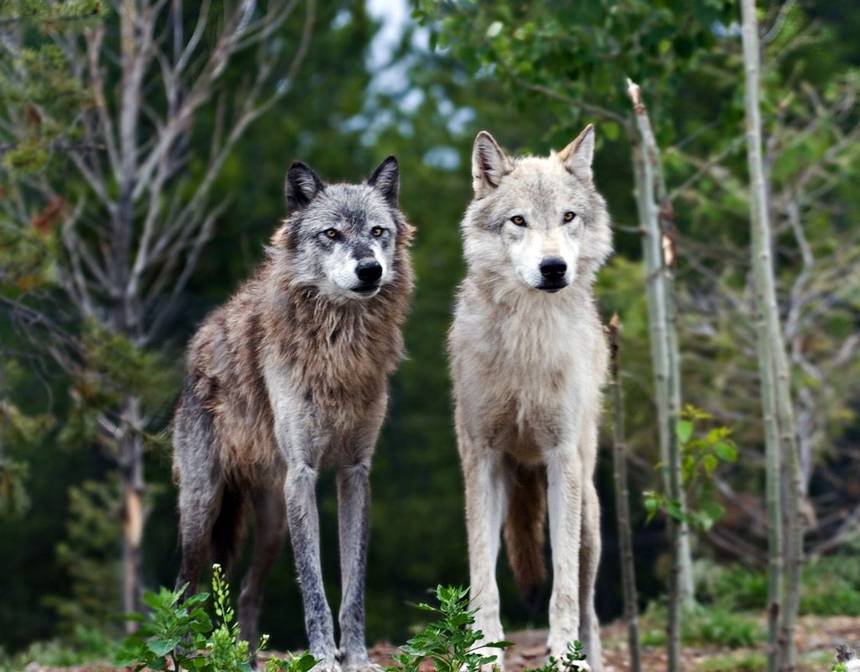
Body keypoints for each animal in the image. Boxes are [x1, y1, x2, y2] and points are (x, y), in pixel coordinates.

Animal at [172, 156, 413, 672]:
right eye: (332, 234)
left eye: (377, 231)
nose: (370, 269)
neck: (340, 346)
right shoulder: (303, 474)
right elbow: (314, 586)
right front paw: (323, 658)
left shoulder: (354, 472)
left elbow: (353, 586)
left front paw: (356, 658)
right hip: (204, 509)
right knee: (183, 589)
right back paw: (178, 658)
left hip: (271, 525)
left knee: (245, 594)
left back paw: (244, 658)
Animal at [448, 126, 612, 671]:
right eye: (518, 220)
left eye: (568, 217)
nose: (553, 267)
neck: (527, 343)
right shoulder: (481, 458)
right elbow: (483, 581)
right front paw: (481, 653)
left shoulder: (561, 459)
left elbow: (563, 590)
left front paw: (565, 658)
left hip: (589, 513)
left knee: (588, 601)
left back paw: (592, 656)